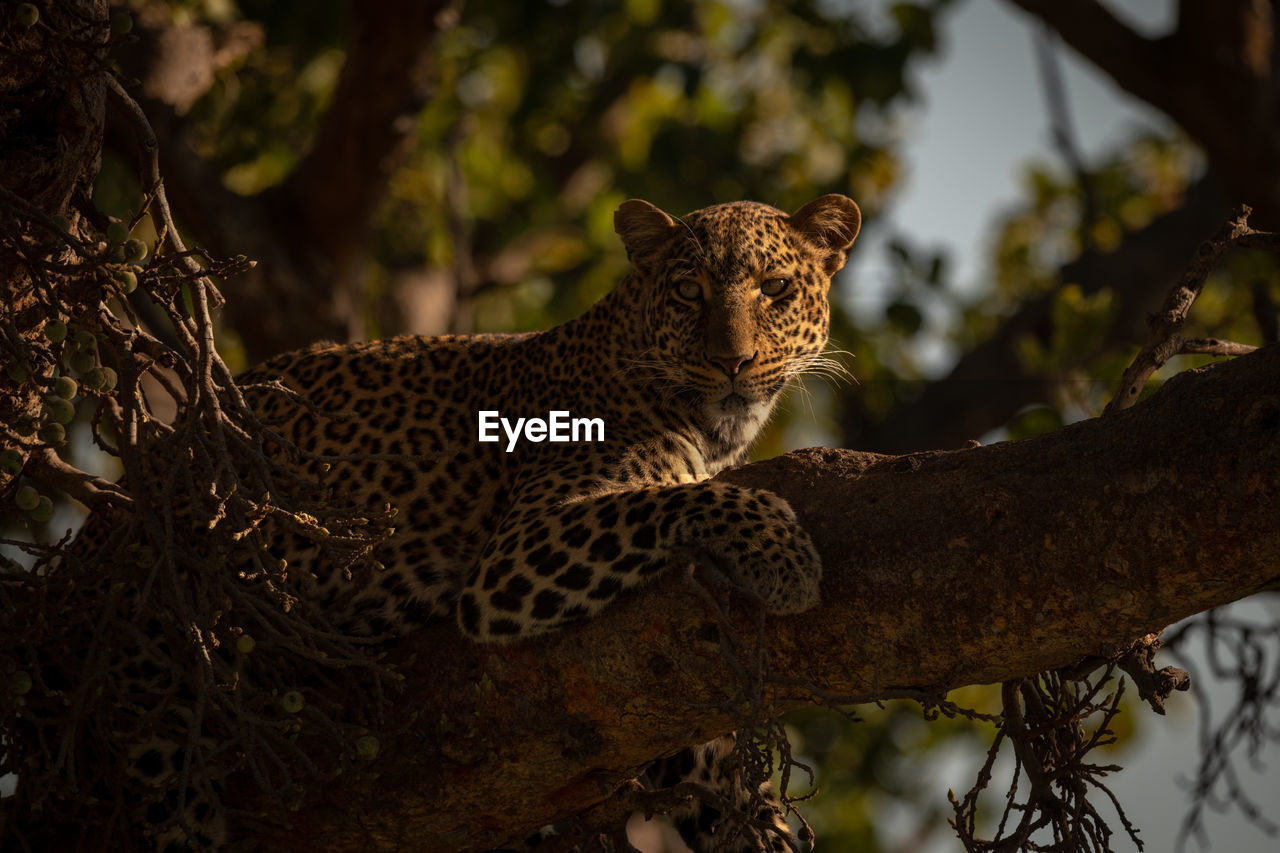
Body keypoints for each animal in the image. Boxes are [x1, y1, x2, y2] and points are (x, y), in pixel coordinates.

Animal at [55, 189, 860, 845]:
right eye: (691, 292)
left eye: (777, 289)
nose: (733, 362)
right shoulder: (518, 556)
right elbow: (677, 497)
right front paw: (782, 554)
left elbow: (704, 761)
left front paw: (761, 824)